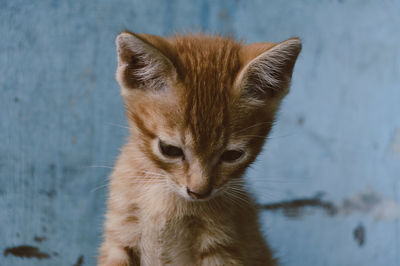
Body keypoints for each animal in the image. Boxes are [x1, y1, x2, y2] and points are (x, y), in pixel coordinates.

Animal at [99, 31, 300, 266]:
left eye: (232, 155)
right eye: (170, 150)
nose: (198, 192)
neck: (166, 196)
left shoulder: (222, 248)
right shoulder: (120, 236)